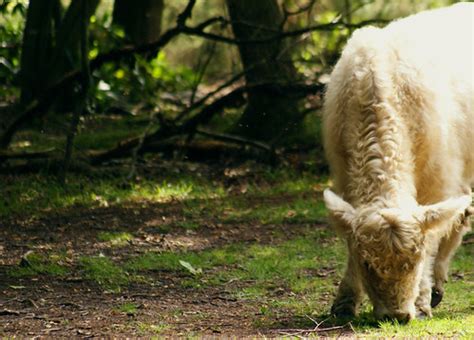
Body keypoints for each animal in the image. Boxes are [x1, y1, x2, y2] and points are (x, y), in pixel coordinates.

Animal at [322, 2, 474, 322]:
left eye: (415, 261)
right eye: (368, 264)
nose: (396, 314)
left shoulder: (439, 180)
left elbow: (433, 235)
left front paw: (422, 300)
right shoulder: (343, 177)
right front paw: (345, 301)